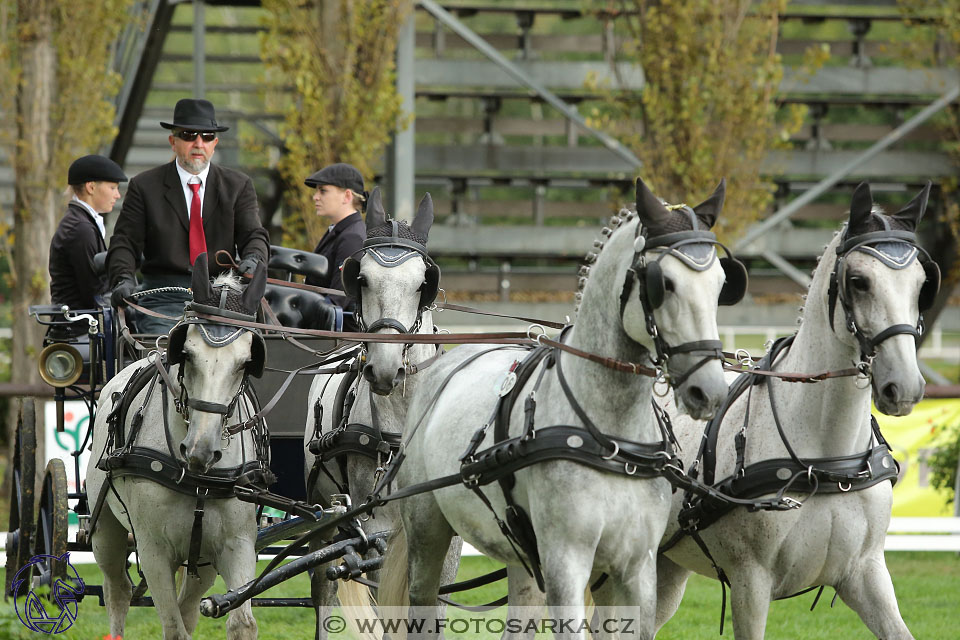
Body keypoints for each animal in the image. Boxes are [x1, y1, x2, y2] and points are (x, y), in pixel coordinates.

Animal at [86, 255, 268, 640]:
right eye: (186, 353)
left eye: (246, 362)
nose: (201, 450)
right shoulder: (153, 551)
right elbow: (173, 628)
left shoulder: (236, 544)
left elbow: (241, 622)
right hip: (105, 531)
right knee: (117, 591)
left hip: (203, 559)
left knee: (188, 606)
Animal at [304, 188, 462, 636]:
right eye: (362, 278)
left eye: (423, 283)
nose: (386, 369)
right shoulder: (375, 529)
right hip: (323, 517)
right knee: (323, 587)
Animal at [380, 179, 744, 640]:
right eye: (665, 283)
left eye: (720, 284)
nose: (708, 390)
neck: (611, 440)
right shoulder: (566, 563)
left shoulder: (637, 566)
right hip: (428, 530)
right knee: (424, 603)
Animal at [652, 182, 936, 636]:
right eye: (858, 281)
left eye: (922, 283)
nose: (904, 387)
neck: (828, 458)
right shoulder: (750, 581)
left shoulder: (865, 572)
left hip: (665, 566)